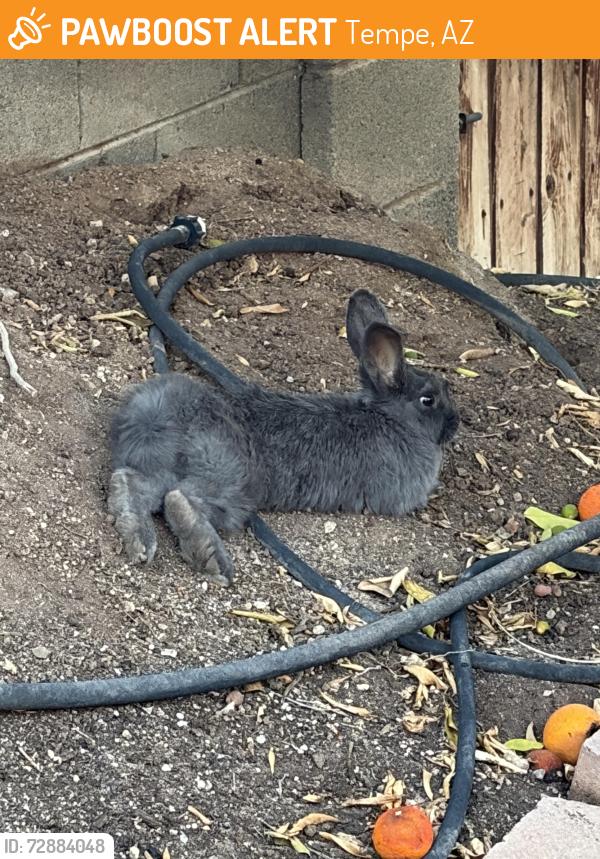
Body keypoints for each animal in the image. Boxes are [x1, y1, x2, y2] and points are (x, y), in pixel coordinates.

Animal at [108, 289, 459, 585]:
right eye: (429, 399)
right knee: (181, 499)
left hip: (161, 468)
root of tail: (153, 415)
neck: (390, 417)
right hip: (228, 478)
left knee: (132, 483)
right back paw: (212, 560)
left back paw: (139, 542)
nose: (455, 423)